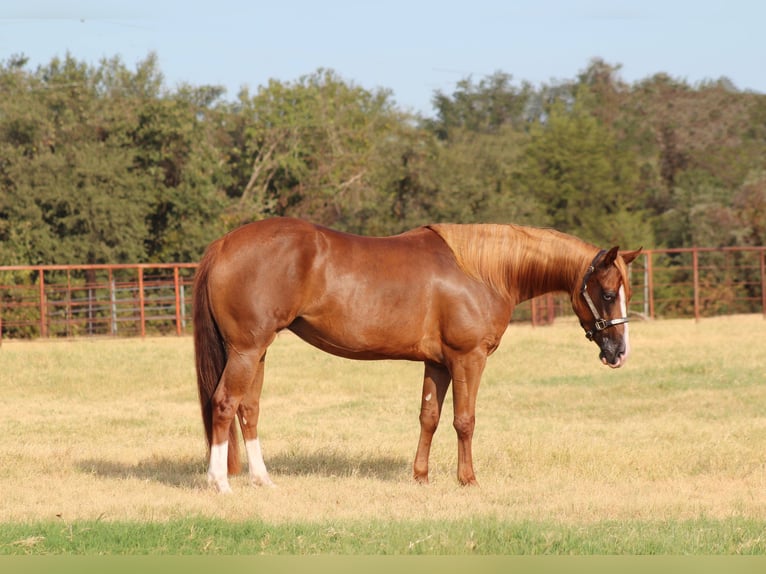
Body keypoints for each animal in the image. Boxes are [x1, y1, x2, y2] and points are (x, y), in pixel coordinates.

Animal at [193, 217, 641, 492]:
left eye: (627, 292)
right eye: (607, 293)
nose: (619, 353)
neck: (483, 271)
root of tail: (223, 244)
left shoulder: (437, 364)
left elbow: (429, 417)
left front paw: (421, 477)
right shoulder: (467, 359)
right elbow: (464, 420)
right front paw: (468, 480)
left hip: (258, 353)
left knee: (248, 410)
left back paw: (262, 479)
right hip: (246, 351)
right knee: (224, 404)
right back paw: (220, 482)